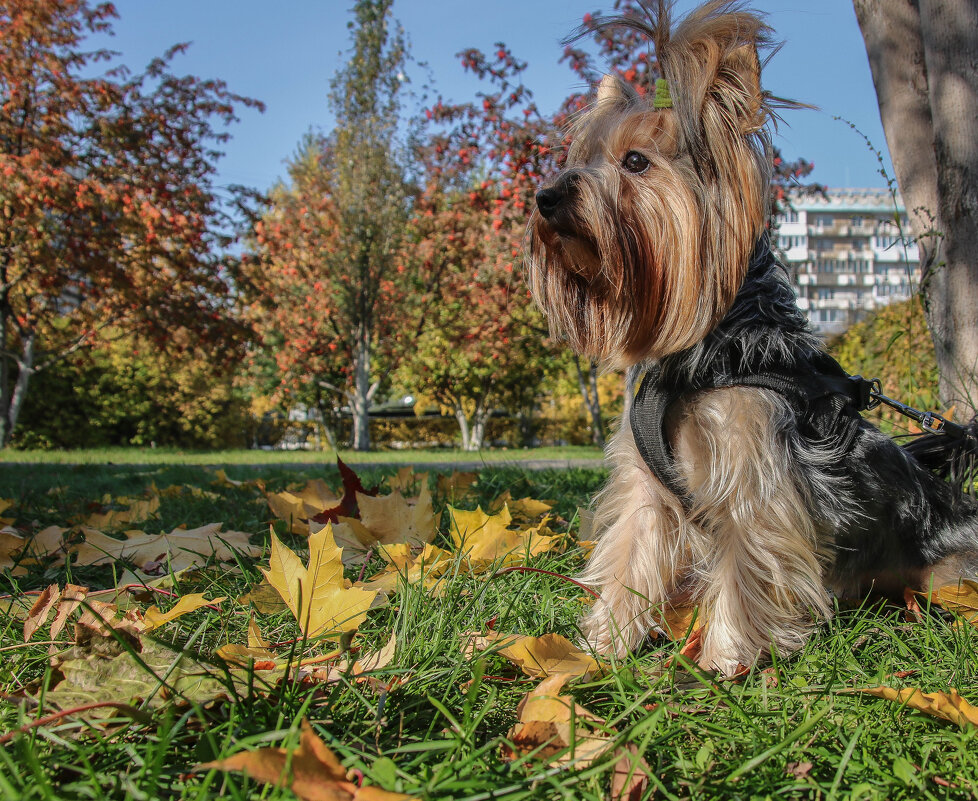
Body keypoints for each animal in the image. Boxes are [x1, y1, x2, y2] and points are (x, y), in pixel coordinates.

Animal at [528, 0, 976, 676]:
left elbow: (747, 563)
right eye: (576, 160)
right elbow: (630, 549)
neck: (696, 349)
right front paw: (602, 646)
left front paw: (725, 660)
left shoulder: (753, 476)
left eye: (635, 163)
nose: (546, 195)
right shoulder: (647, 485)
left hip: (949, 569)